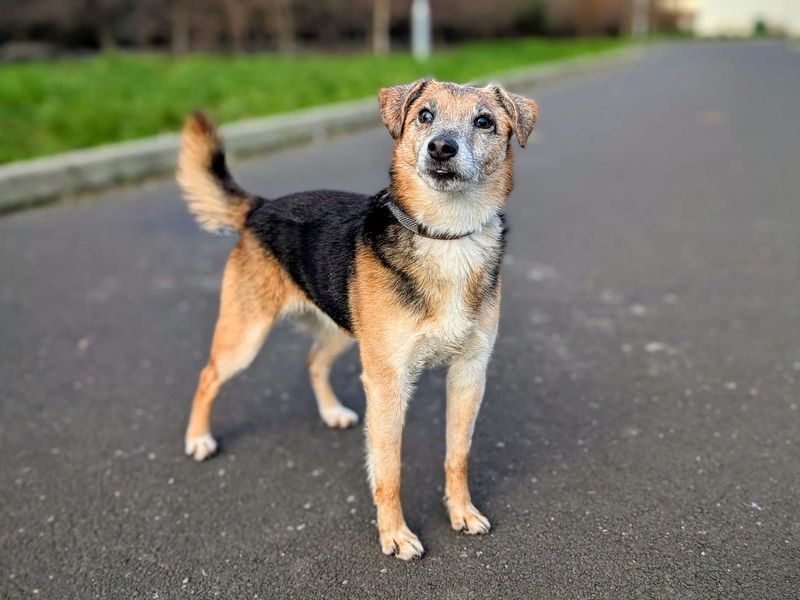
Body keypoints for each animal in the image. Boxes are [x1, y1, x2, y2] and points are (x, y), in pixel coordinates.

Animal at [177, 77, 536, 560]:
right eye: (424, 115)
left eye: (484, 122)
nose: (441, 148)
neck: (446, 236)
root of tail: (260, 207)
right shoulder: (387, 383)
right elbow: (389, 470)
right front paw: (395, 535)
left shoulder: (469, 373)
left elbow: (457, 454)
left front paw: (461, 512)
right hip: (245, 337)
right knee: (208, 375)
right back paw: (198, 439)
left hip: (340, 332)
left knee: (313, 361)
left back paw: (331, 413)